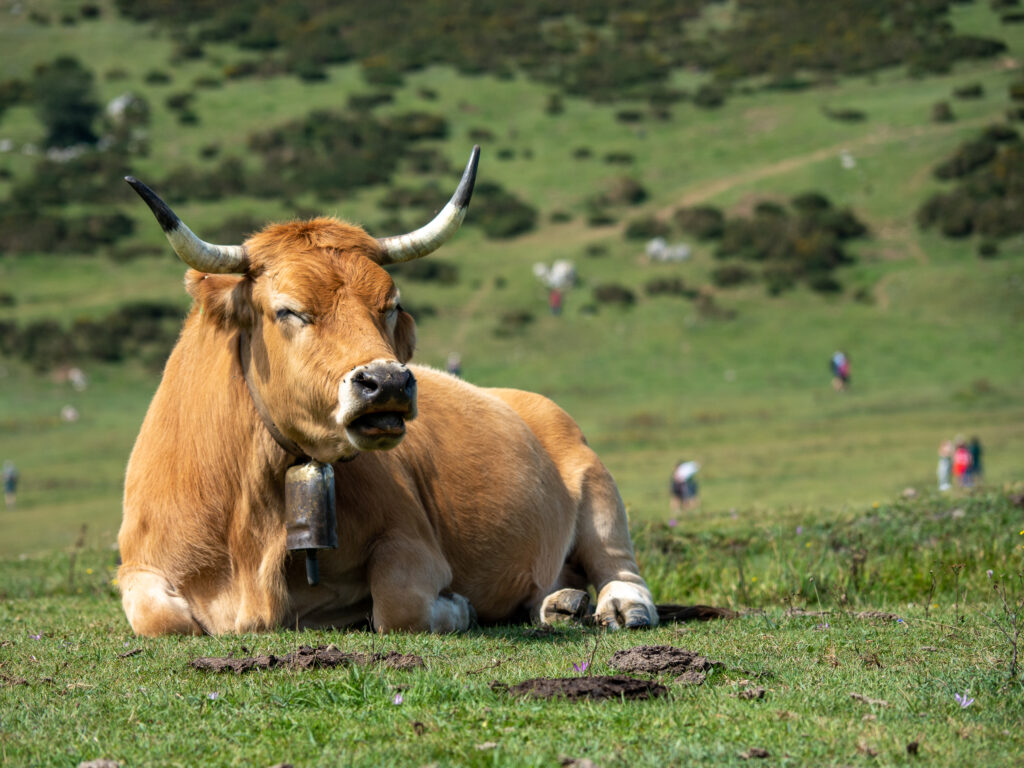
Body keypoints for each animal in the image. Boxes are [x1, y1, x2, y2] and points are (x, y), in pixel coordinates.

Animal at [114, 148, 655, 638]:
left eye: (390, 304)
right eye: (289, 310)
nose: (388, 382)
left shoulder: (412, 541)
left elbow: (399, 606)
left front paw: (459, 608)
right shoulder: (138, 567)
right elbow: (160, 619)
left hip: (599, 490)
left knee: (618, 564)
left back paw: (621, 606)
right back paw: (557, 605)